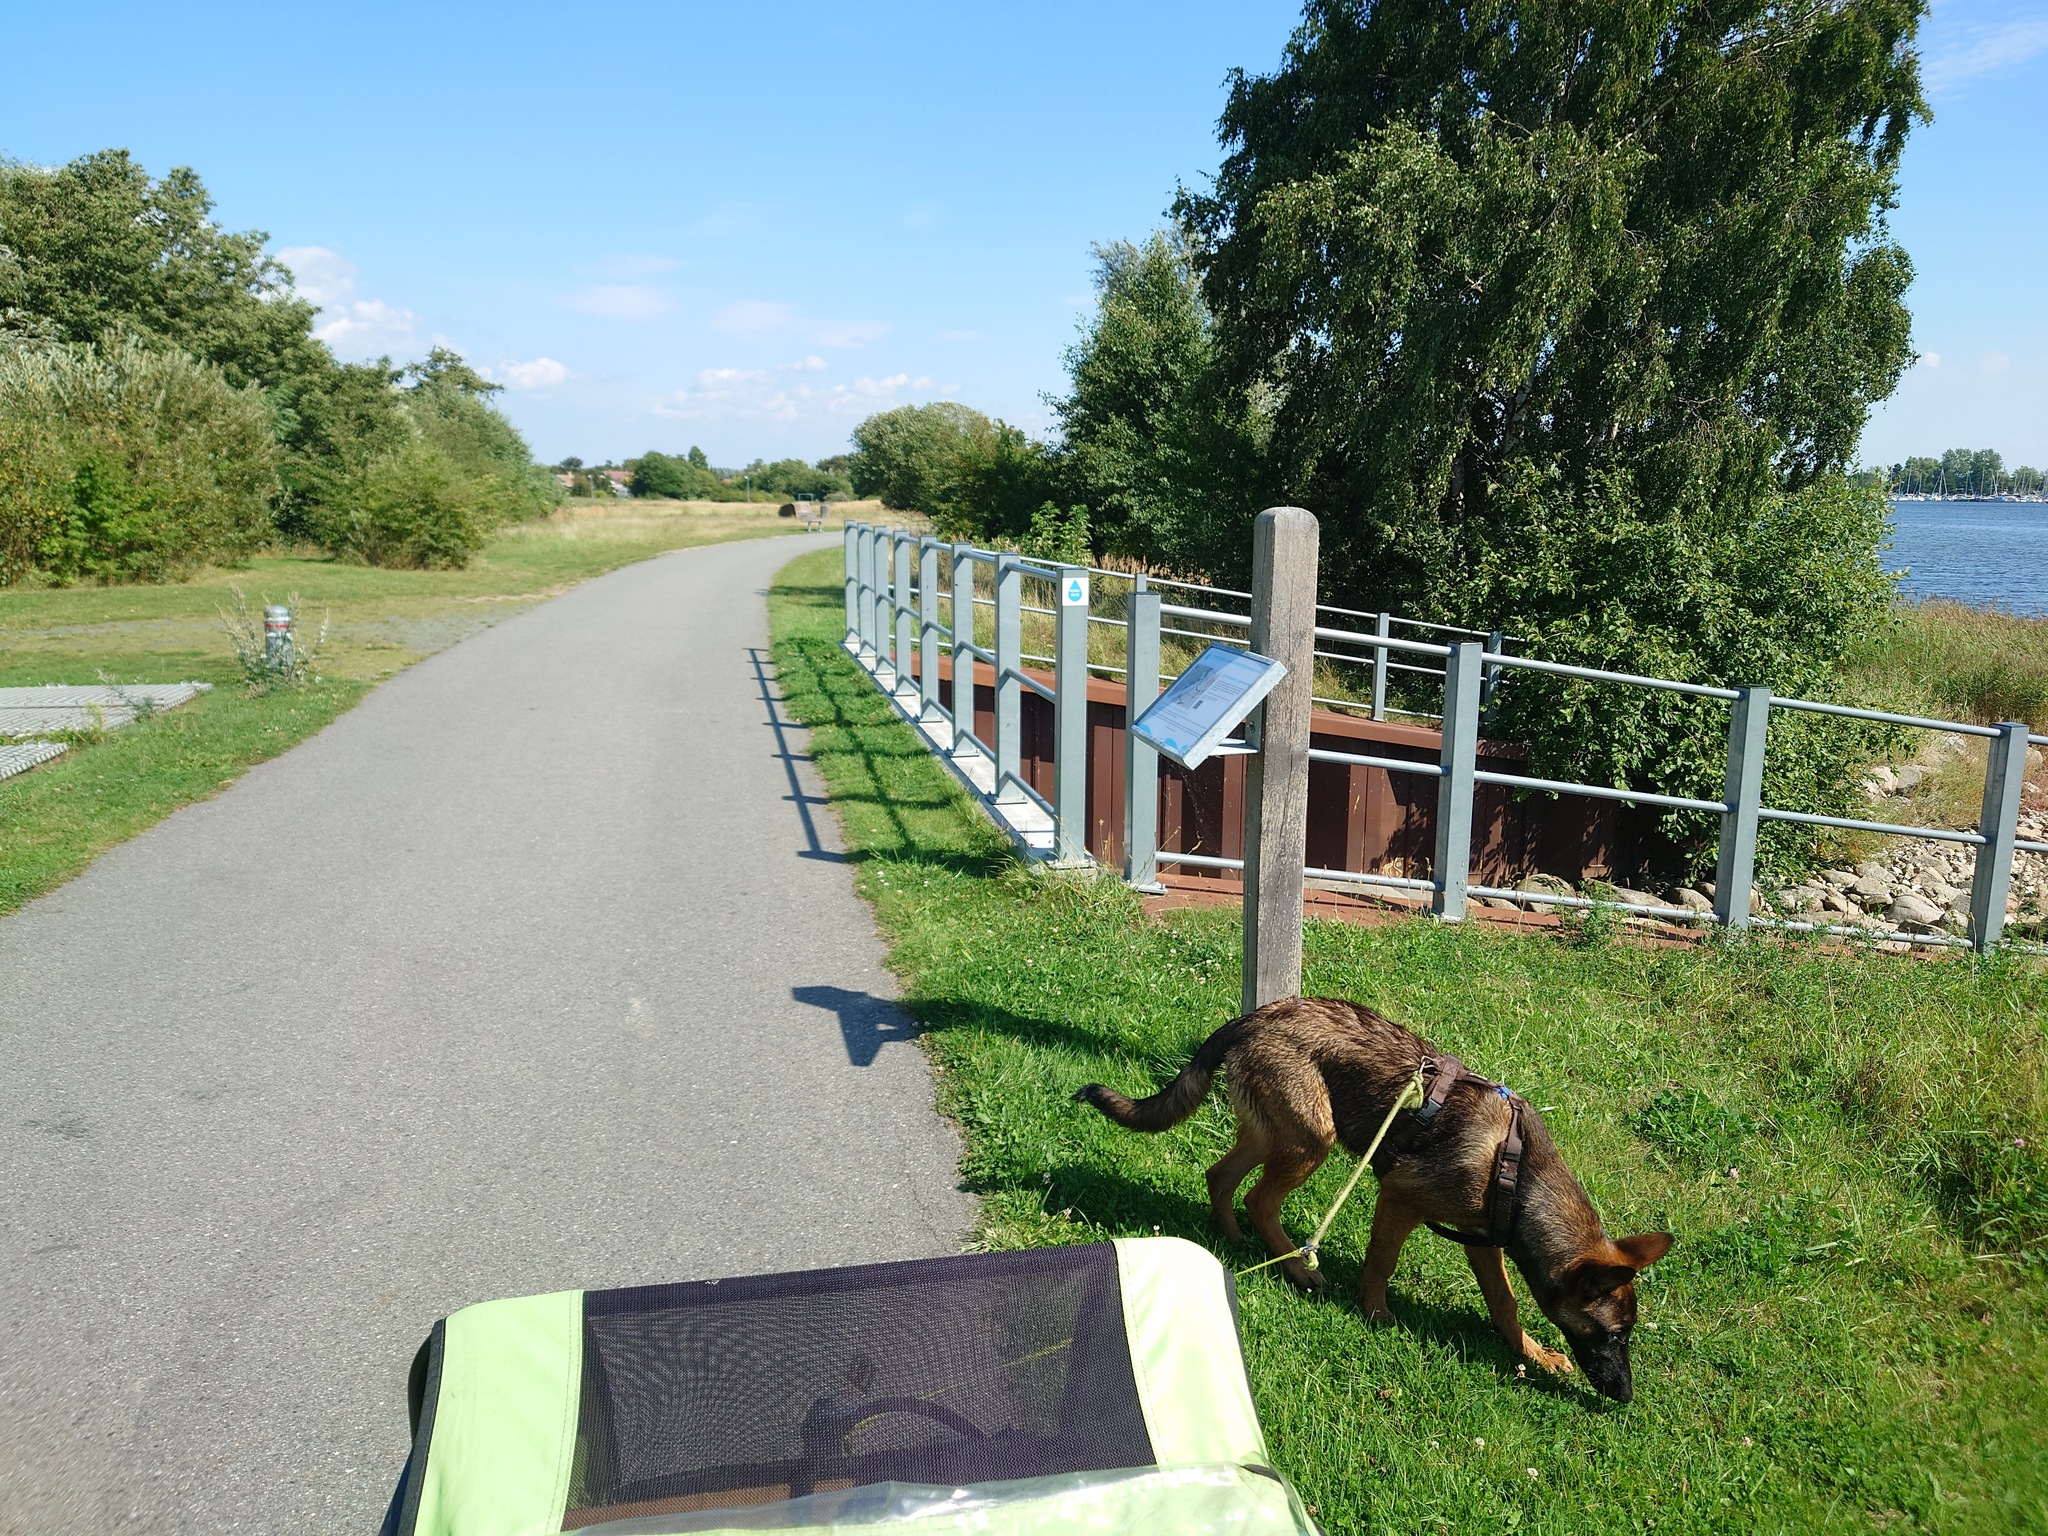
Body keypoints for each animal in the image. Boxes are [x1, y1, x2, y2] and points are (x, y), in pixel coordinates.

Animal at [1081, 999, 1671, 1409]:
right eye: (1611, 1334)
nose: (1625, 1397)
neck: (1518, 1173)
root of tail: (1252, 1018)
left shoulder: (1483, 1243)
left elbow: (1504, 1303)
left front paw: (1533, 1354)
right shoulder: (1400, 1196)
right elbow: (1381, 1262)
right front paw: (1376, 1314)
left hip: (1277, 1134)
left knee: (1221, 1179)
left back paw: (1233, 1238)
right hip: (1311, 1141)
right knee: (1258, 1198)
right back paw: (1298, 1268)